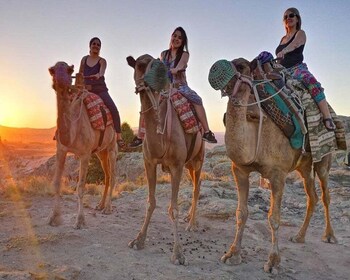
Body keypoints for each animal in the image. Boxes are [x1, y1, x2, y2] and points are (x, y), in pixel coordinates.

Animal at [47, 60, 117, 228]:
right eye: (52, 70)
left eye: (69, 70)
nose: (61, 81)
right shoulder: (61, 150)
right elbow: (57, 183)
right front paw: (54, 217)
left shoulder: (85, 154)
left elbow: (80, 187)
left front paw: (80, 220)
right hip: (100, 152)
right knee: (106, 175)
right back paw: (100, 205)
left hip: (112, 146)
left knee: (113, 175)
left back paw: (108, 208)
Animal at [126, 54, 205, 264]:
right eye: (139, 64)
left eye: (158, 62)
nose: (161, 75)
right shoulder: (149, 162)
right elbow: (150, 202)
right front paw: (138, 240)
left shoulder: (176, 165)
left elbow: (173, 208)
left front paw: (178, 253)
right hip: (188, 165)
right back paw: (189, 218)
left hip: (198, 159)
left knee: (196, 188)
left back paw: (192, 223)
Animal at [208, 58, 336, 272]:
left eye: (241, 66)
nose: (216, 71)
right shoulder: (239, 169)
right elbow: (241, 213)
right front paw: (233, 254)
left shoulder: (278, 174)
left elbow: (274, 219)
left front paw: (274, 262)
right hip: (303, 166)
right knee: (312, 196)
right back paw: (299, 236)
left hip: (323, 159)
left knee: (325, 195)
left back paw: (329, 236)